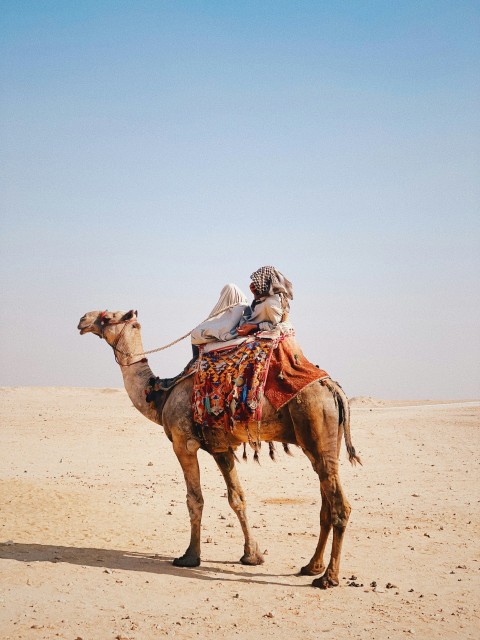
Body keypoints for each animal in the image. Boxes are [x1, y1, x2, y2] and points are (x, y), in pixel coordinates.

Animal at [77, 309, 361, 588]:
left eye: (107, 317)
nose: (83, 320)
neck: (160, 395)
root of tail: (335, 389)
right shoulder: (221, 449)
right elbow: (237, 498)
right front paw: (252, 555)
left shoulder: (183, 444)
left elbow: (195, 499)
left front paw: (190, 556)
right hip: (323, 444)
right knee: (326, 503)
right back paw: (311, 566)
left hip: (316, 425)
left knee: (340, 507)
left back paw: (328, 577)